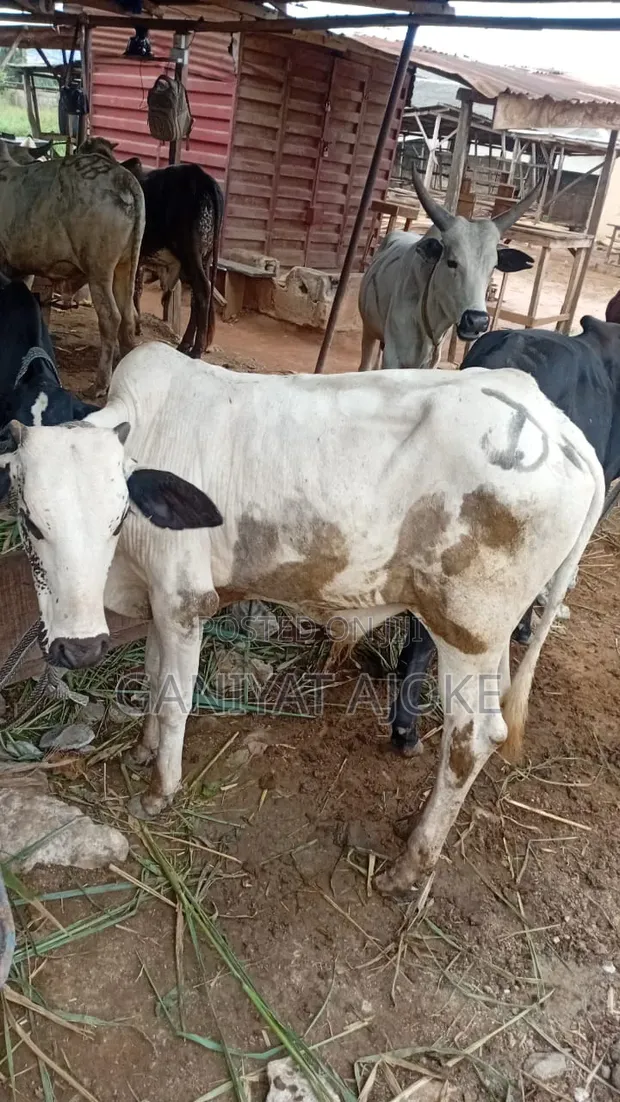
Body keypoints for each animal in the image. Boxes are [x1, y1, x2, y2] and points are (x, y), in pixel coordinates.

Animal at [0, 140, 145, 396]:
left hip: (99, 270)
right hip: (125, 266)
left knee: (111, 318)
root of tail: (122, 176)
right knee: (128, 316)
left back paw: (99, 385)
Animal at [0, 346, 604, 895]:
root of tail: (562, 431)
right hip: (491, 636)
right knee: (496, 719)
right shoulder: (155, 599)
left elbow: (174, 701)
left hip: (463, 630)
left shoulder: (183, 599)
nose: (80, 649)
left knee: (470, 738)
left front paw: (159, 790)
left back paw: (410, 865)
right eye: (30, 521)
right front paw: (142, 751)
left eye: (116, 517)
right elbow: (152, 679)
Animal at [79, 138, 224, 359]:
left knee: (203, 290)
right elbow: (134, 290)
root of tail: (203, 179)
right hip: (203, 257)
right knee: (196, 297)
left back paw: (196, 349)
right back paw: (185, 344)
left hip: (190, 252)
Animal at [358, 170, 539, 371]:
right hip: (369, 331)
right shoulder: (392, 358)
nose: (477, 321)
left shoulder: (430, 362)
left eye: (493, 267)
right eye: (452, 262)